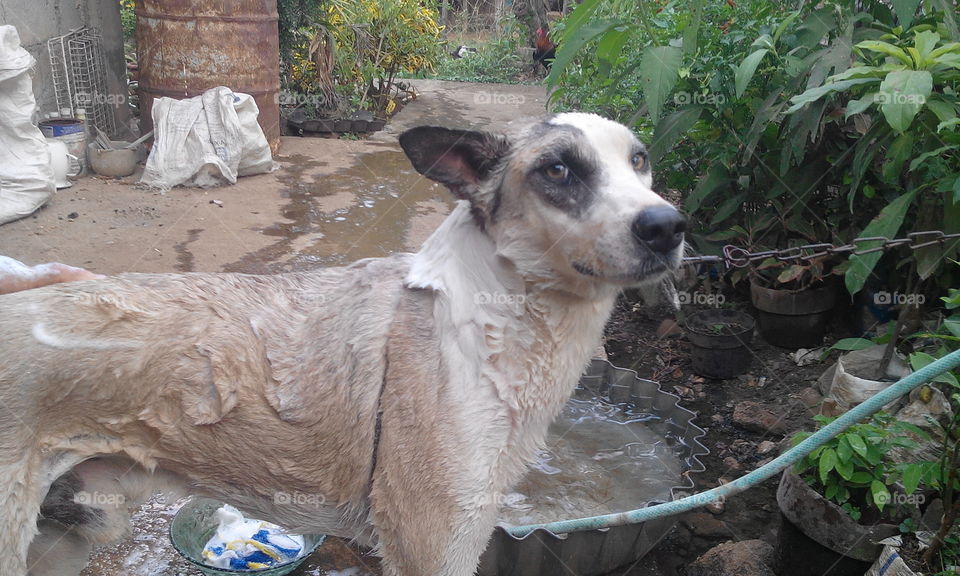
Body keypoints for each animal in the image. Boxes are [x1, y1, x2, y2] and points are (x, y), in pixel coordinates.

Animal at [0, 113, 684, 576]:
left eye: (641, 161)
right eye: (558, 170)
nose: (669, 226)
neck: (498, 313)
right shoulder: (431, 542)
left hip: (76, 529)